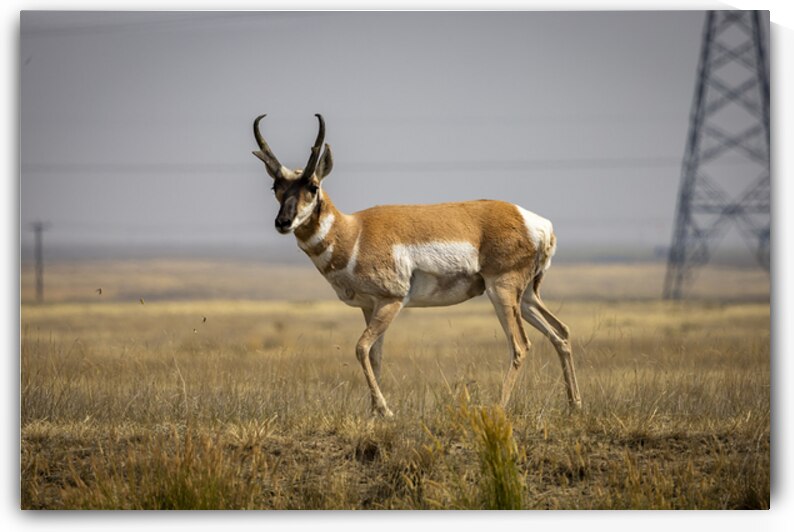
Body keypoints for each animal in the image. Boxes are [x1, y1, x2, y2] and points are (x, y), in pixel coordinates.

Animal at [252, 114, 581, 417]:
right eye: (275, 186)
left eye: (312, 185)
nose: (283, 222)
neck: (354, 232)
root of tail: (535, 222)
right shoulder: (369, 307)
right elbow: (375, 355)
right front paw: (374, 414)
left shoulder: (391, 302)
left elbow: (360, 348)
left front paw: (385, 410)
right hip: (525, 297)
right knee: (561, 332)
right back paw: (574, 404)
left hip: (501, 291)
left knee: (520, 345)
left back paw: (497, 408)